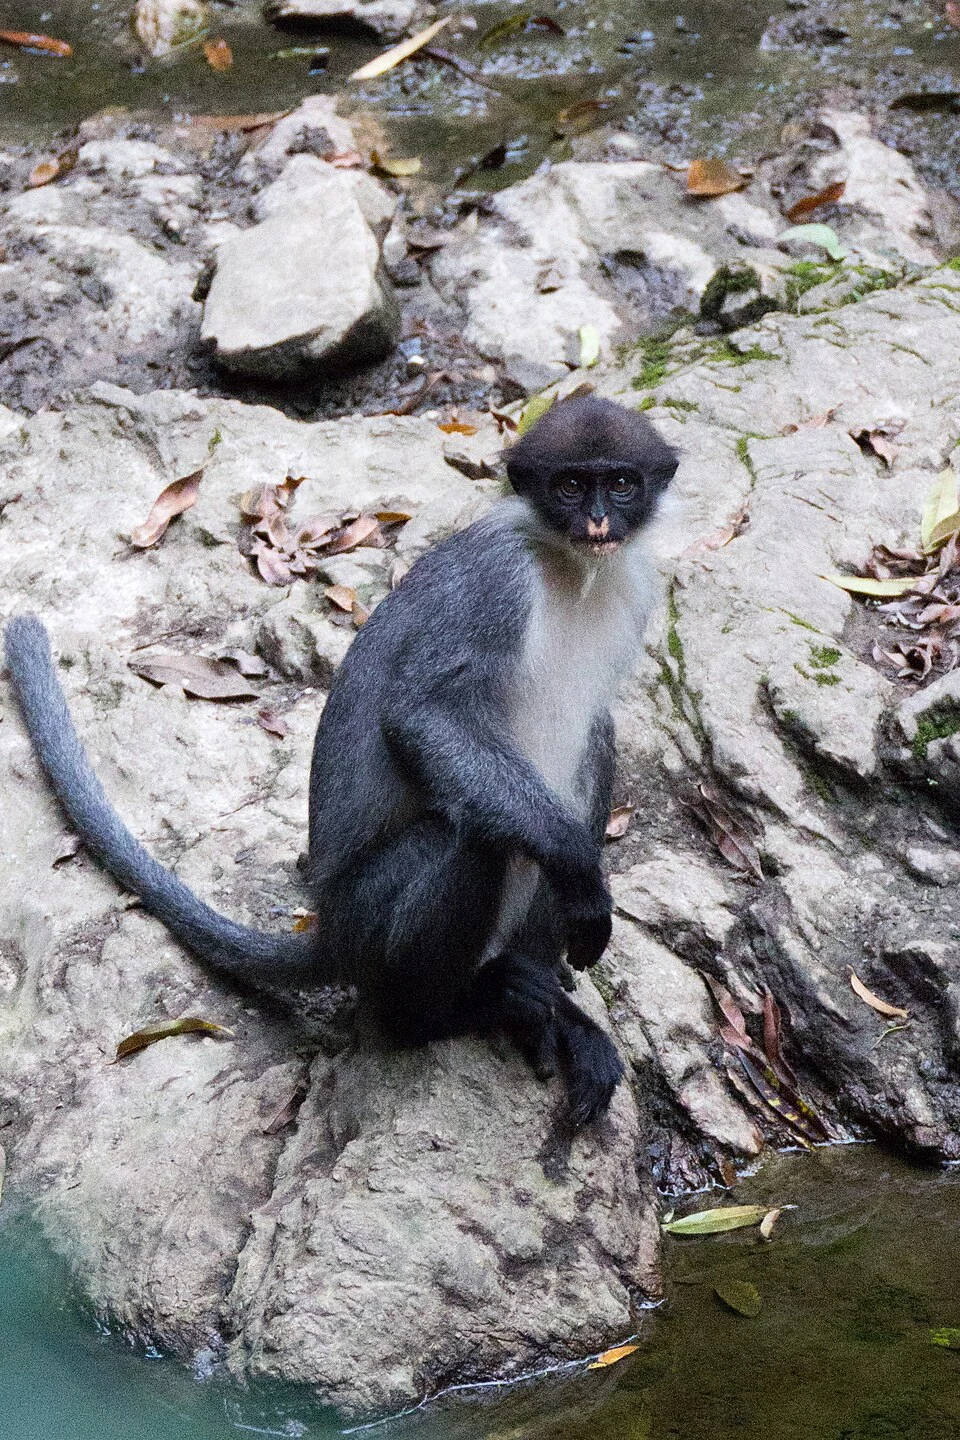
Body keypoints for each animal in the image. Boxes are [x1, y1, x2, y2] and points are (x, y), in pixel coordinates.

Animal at [4, 394, 678, 1128]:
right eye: (570, 486)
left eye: (620, 483)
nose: (599, 521)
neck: (570, 571)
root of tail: (329, 929)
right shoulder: (495, 582)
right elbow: (423, 717)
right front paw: (580, 870)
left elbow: (591, 734)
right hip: (369, 921)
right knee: (471, 835)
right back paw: (445, 1013)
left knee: (591, 747)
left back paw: (540, 999)